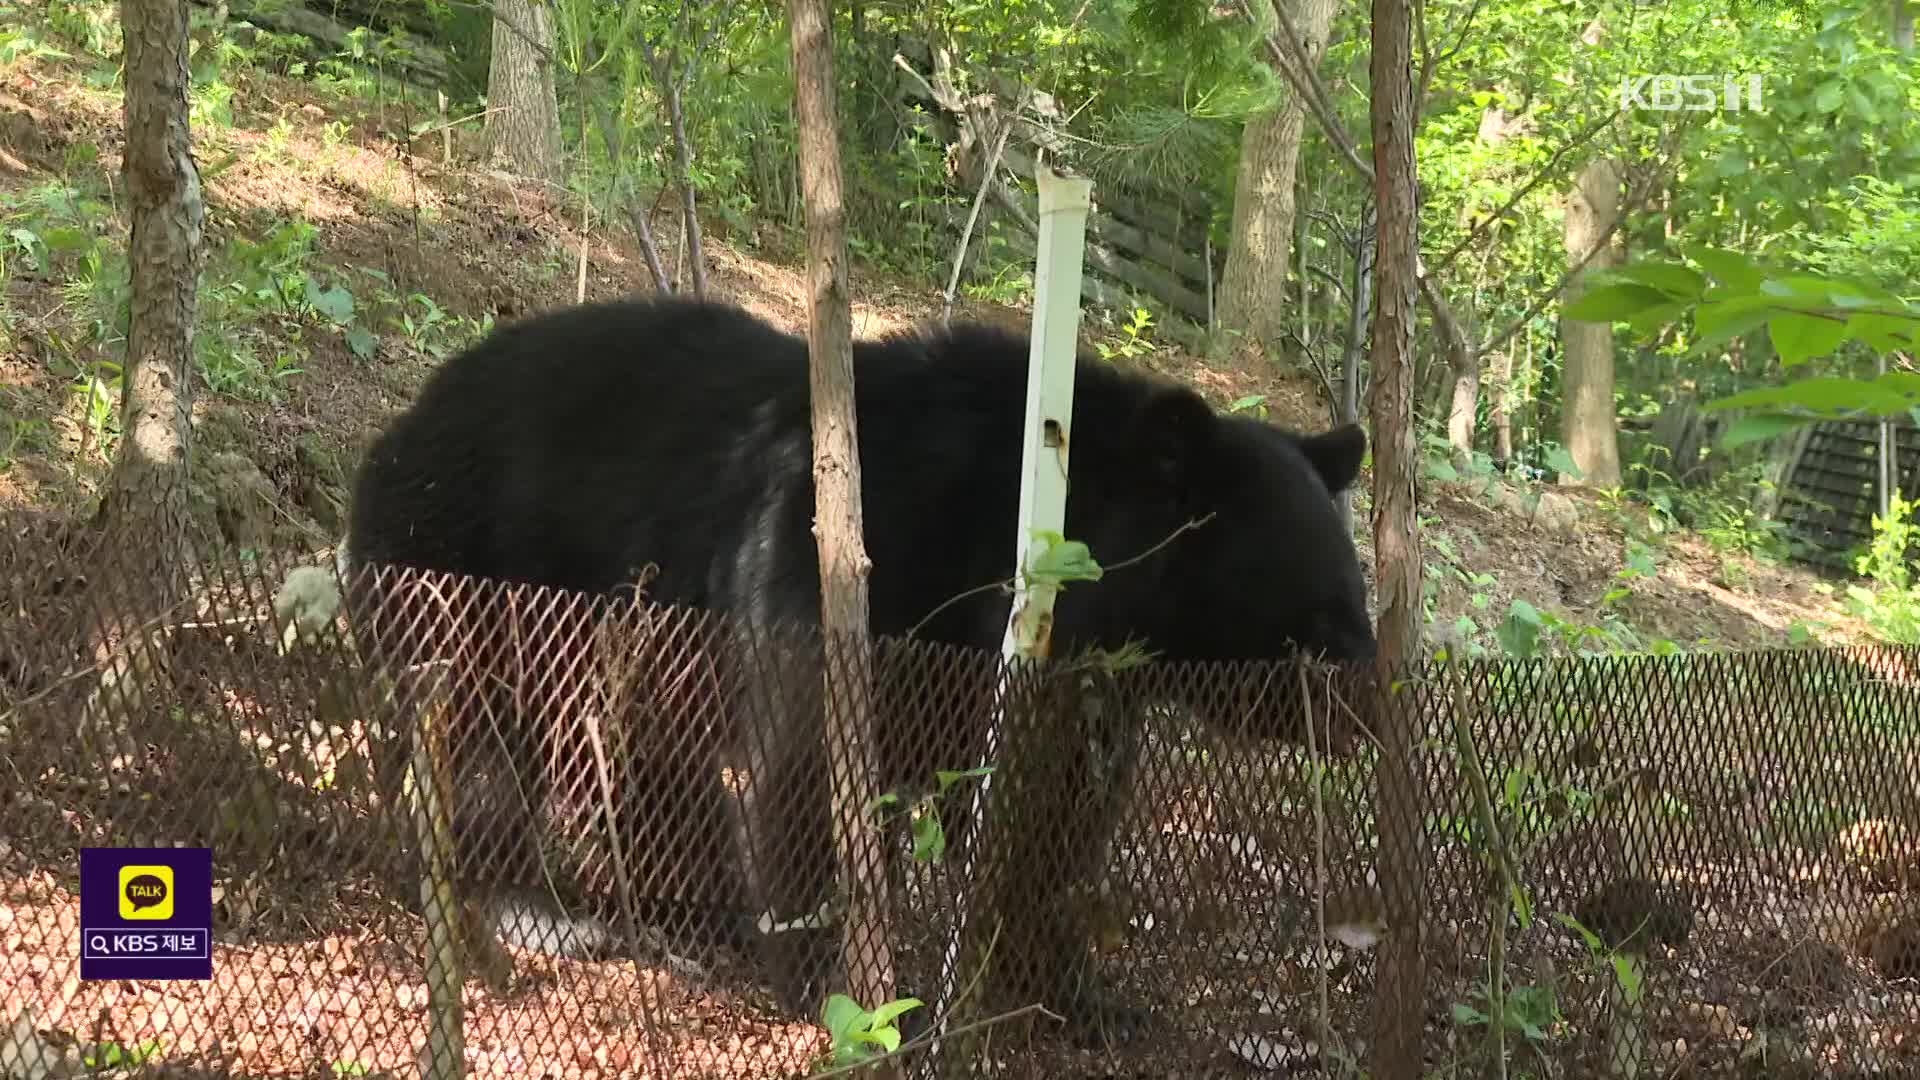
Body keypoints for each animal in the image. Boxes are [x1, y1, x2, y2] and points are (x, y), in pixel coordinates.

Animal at [341, 297, 1367, 1037]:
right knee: (477, 747)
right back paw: (531, 901)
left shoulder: (1062, 687)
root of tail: (397, 426)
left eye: (1352, 597)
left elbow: (1052, 817)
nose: (1364, 707)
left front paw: (1083, 999)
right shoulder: (850, 578)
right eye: (1318, 614)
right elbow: (807, 769)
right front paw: (843, 989)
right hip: (478, 582)